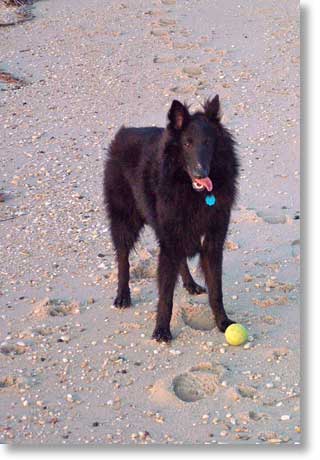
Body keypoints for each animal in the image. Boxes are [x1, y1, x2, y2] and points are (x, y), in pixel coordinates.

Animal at [104, 96, 239, 342]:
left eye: (208, 143)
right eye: (187, 144)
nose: (201, 173)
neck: (192, 192)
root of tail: (125, 132)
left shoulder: (212, 243)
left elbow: (216, 290)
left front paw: (223, 322)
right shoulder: (169, 242)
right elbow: (165, 294)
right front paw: (161, 330)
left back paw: (190, 284)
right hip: (125, 221)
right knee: (123, 258)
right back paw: (123, 296)